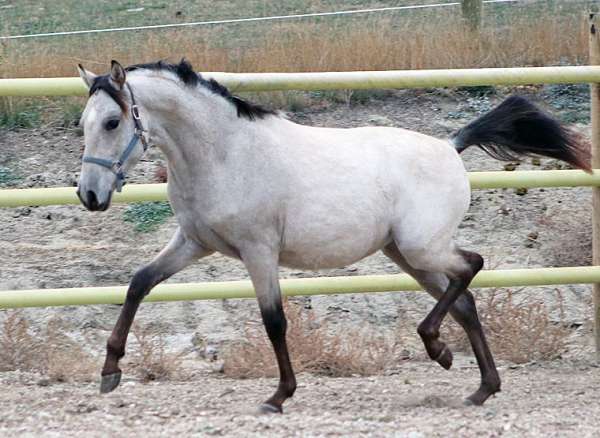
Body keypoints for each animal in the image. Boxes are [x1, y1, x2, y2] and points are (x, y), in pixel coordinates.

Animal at [74, 60, 584, 412]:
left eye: (113, 122)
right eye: (84, 123)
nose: (90, 195)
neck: (226, 155)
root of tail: (449, 145)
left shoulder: (259, 251)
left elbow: (274, 321)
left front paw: (278, 396)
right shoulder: (193, 242)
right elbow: (139, 283)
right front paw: (109, 371)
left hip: (421, 247)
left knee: (473, 266)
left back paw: (439, 349)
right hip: (408, 256)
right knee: (465, 301)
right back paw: (478, 386)